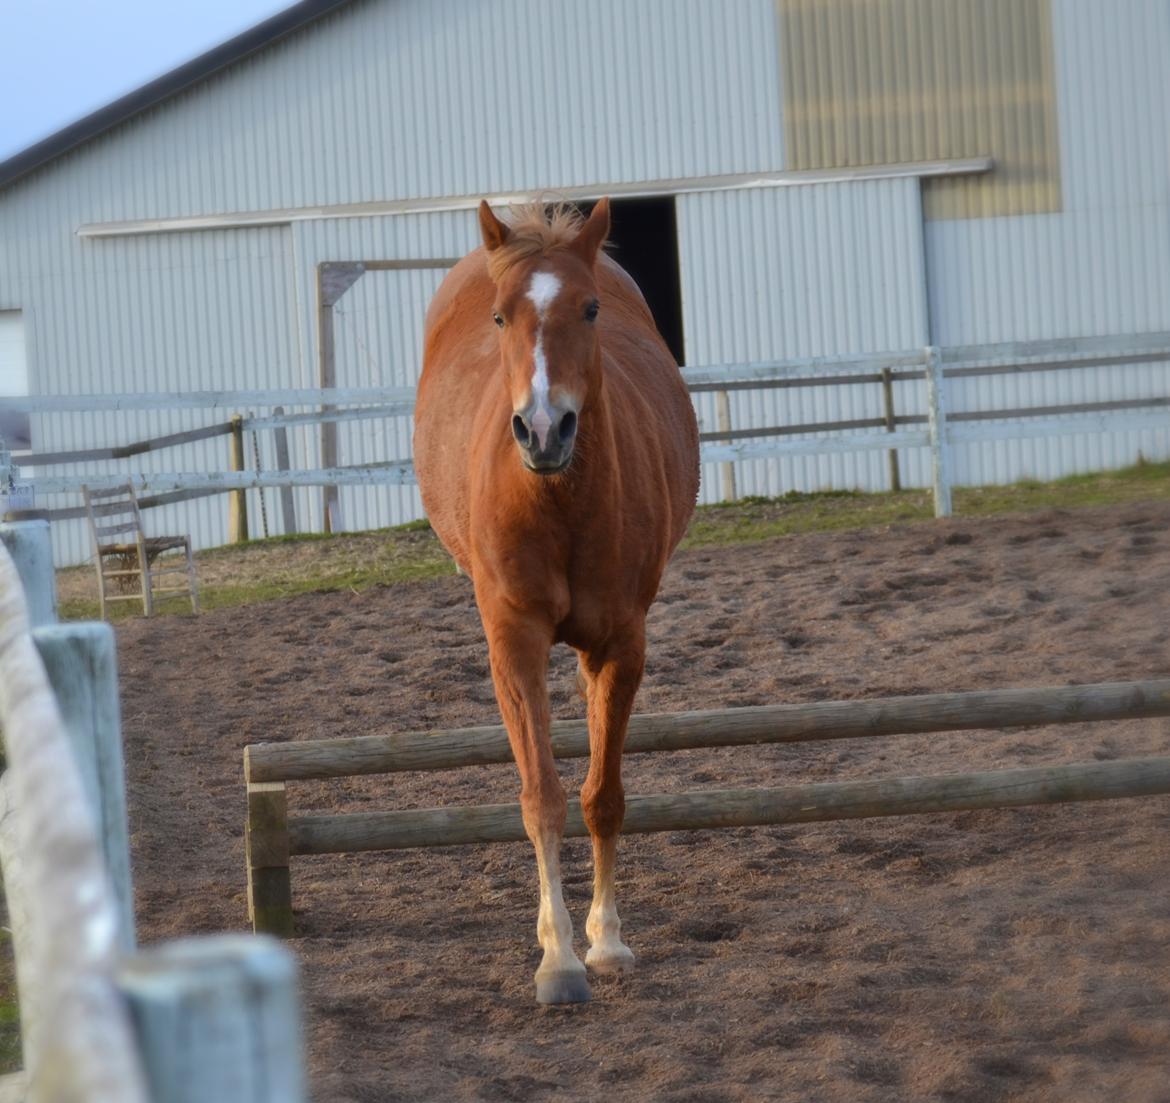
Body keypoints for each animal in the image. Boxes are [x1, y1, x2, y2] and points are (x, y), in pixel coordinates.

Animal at [416, 196, 697, 1001]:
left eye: (591, 307)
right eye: (501, 316)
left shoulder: (623, 643)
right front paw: (560, 960)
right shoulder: (513, 642)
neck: (556, 498)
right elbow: (540, 795)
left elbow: (602, 795)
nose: (544, 429)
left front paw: (606, 941)